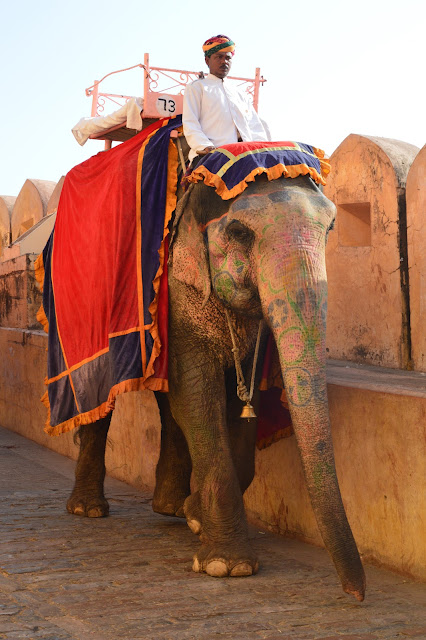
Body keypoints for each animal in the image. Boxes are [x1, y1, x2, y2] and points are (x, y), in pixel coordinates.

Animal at [66, 171, 366, 600]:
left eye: (331, 228)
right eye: (240, 231)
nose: (356, 595)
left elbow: (236, 401)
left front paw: (195, 517)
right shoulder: (178, 289)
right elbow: (197, 396)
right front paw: (227, 566)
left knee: (168, 405)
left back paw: (170, 507)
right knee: (100, 399)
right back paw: (88, 510)